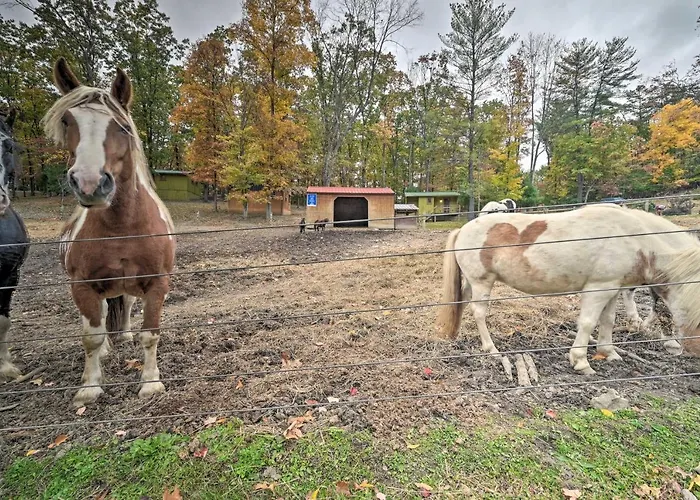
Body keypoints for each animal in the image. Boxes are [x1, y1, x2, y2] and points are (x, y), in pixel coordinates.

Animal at [42, 58, 176, 406]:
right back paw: (104, 354)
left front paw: (150, 382)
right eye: (67, 121)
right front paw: (90, 386)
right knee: (99, 318)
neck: (121, 228)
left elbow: (150, 333)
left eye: (123, 126)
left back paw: (124, 336)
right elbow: (91, 336)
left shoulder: (157, 282)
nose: (90, 183)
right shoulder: (82, 284)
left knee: (124, 305)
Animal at [436, 204, 700, 378]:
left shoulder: (613, 287)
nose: (694, 352)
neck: (634, 237)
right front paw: (581, 361)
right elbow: (587, 323)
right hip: (482, 282)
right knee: (480, 313)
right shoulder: (597, 289)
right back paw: (491, 350)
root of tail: (464, 229)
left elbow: (608, 320)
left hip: (473, 283)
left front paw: (608, 352)